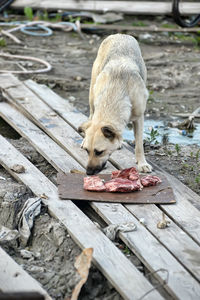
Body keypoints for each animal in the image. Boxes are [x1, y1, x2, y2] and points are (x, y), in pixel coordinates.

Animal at [78, 34, 152, 176]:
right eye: (87, 151)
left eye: (99, 152)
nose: (88, 172)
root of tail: (120, 35)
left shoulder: (139, 118)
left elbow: (139, 144)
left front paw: (142, 163)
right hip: (92, 94)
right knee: (90, 116)